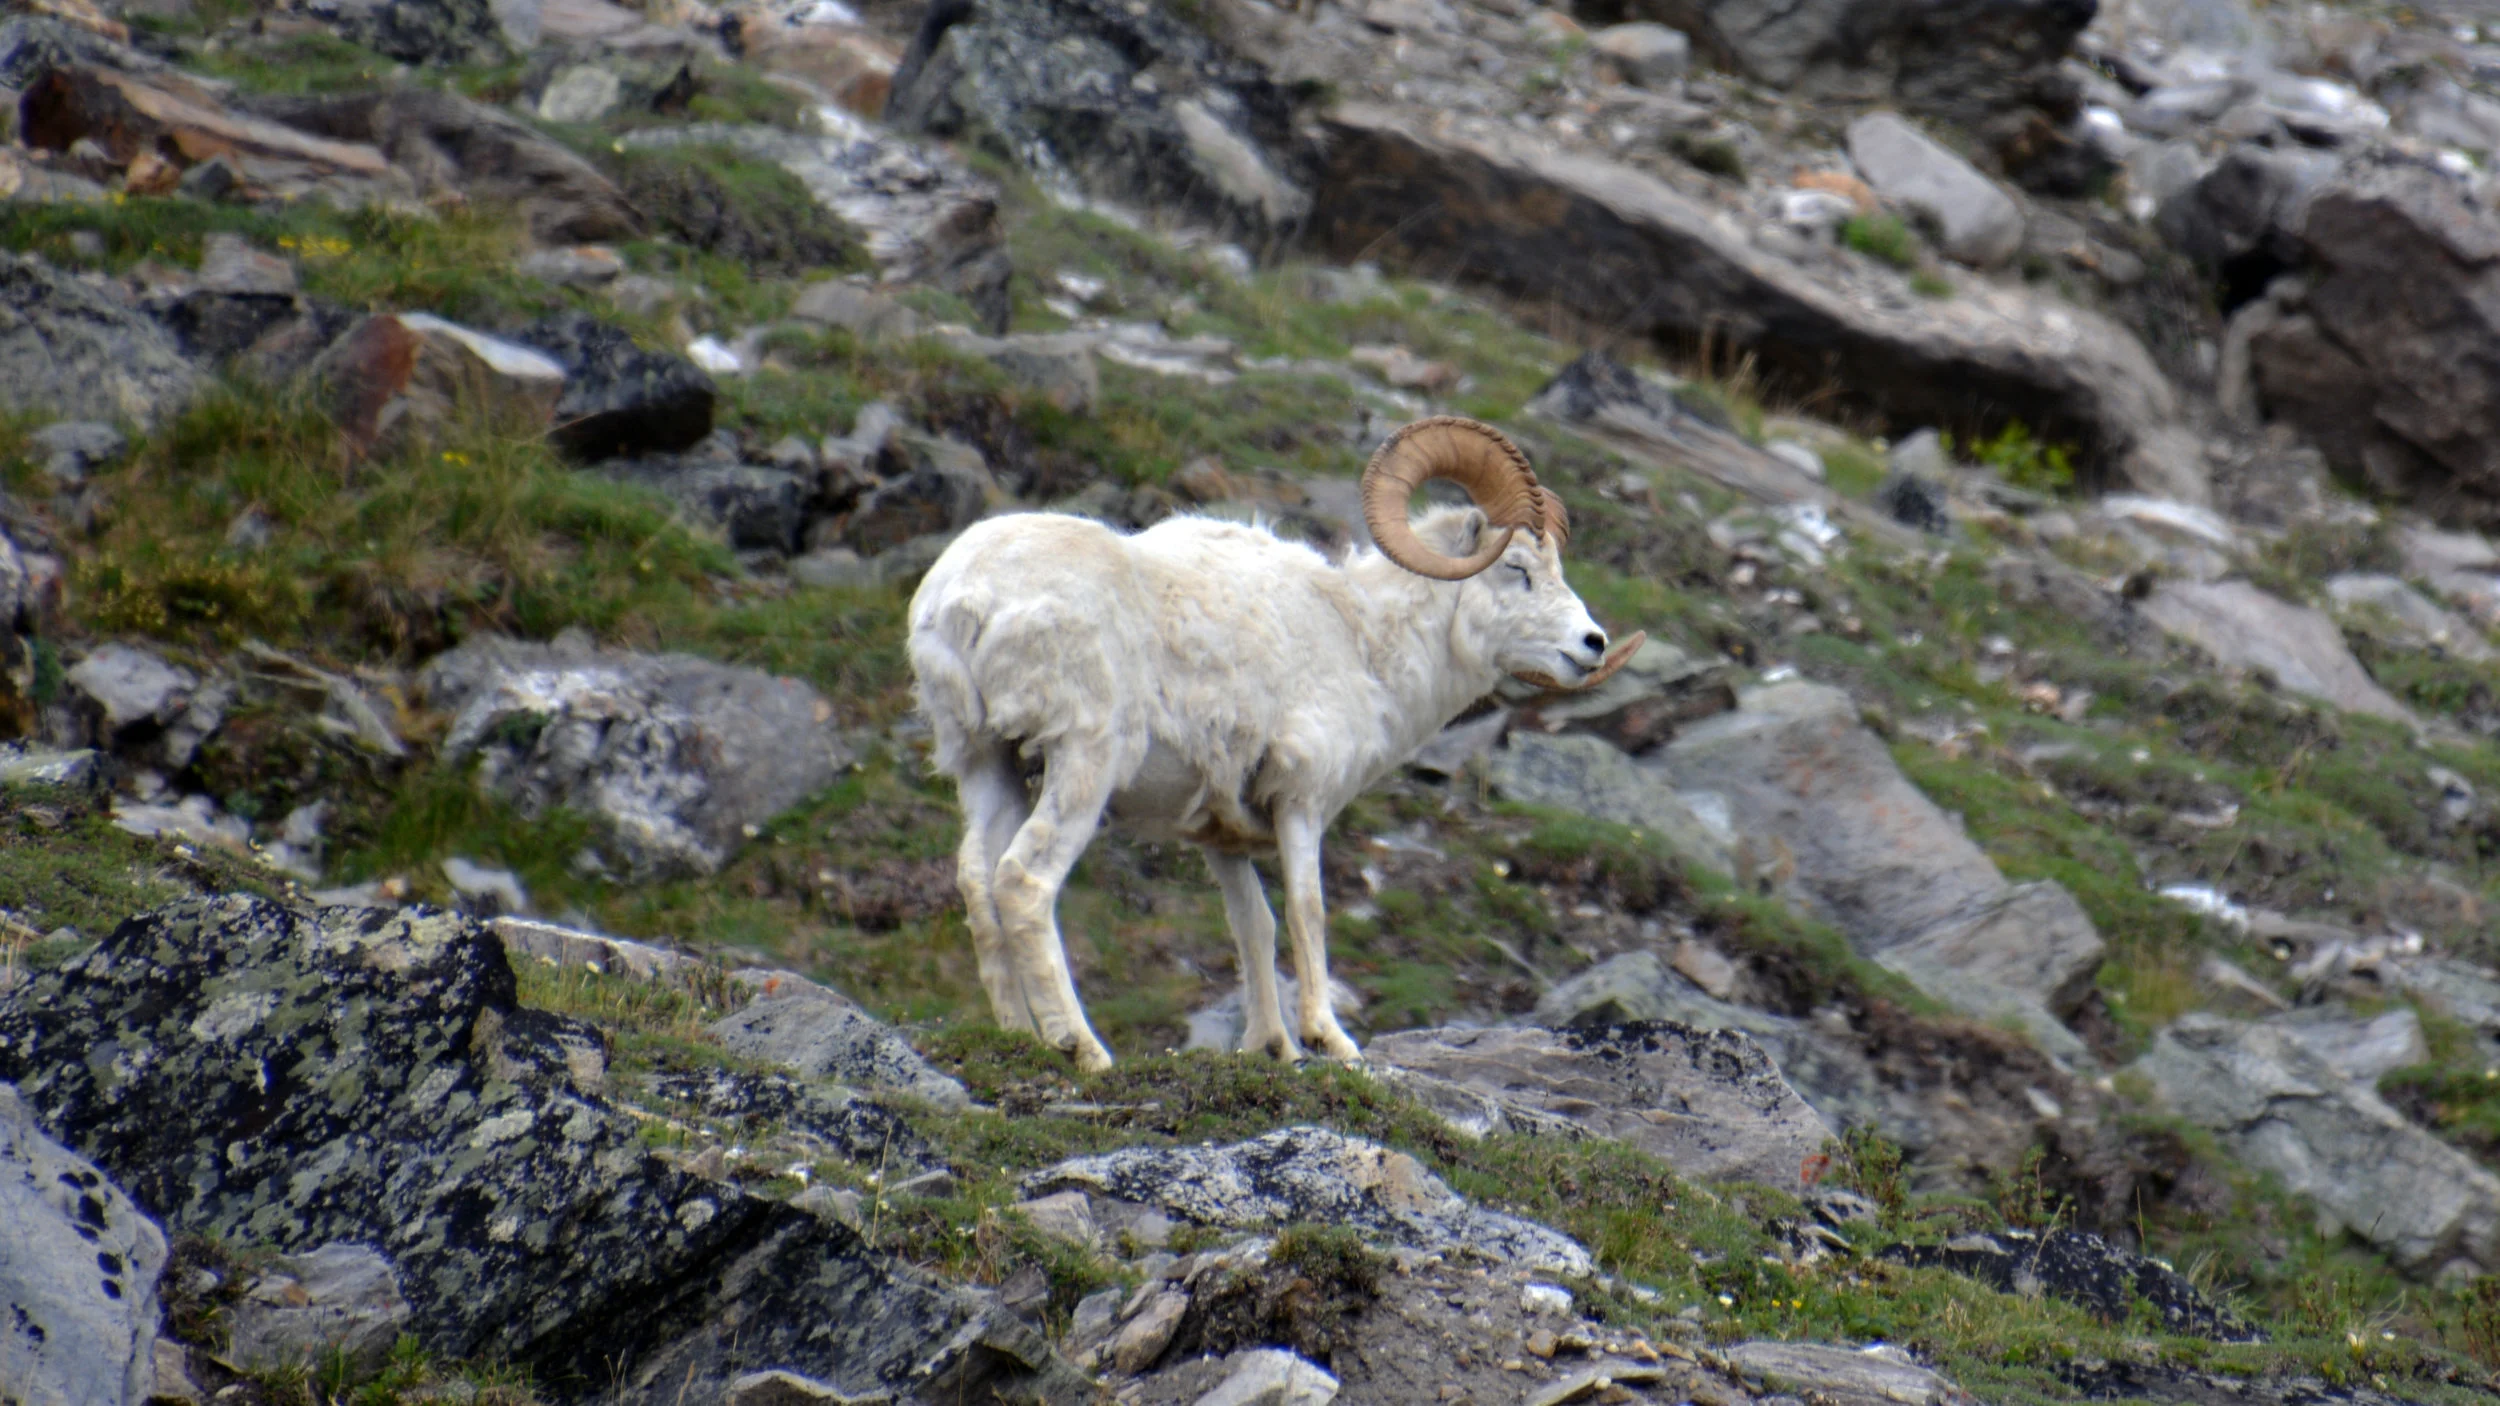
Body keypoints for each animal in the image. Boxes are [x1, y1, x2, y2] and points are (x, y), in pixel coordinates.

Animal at [908, 417, 1642, 1071]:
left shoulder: (1223, 836)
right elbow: (1306, 911)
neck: (1361, 641)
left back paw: (1016, 1034)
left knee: (976, 879)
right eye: (1516, 568)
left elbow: (1253, 927)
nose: (1592, 643)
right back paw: (1081, 1048)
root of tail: (967, 598)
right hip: (1081, 763)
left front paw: (1273, 1048)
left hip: (986, 762)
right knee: (1024, 881)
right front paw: (1330, 1042)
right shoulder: (1300, 801)